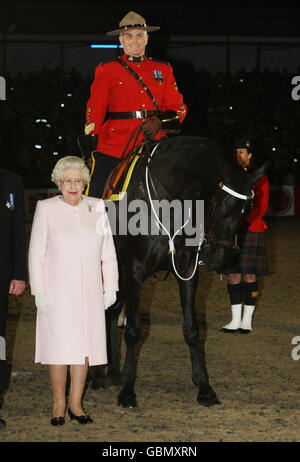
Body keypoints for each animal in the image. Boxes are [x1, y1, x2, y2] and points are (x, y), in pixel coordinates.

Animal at [90, 136, 266, 408]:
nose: (221, 258)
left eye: (247, 210)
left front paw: (204, 387)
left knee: (112, 311)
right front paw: (128, 391)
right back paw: (99, 374)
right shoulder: (134, 272)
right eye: (220, 203)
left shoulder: (187, 270)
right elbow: (133, 331)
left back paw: (113, 372)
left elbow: (192, 329)